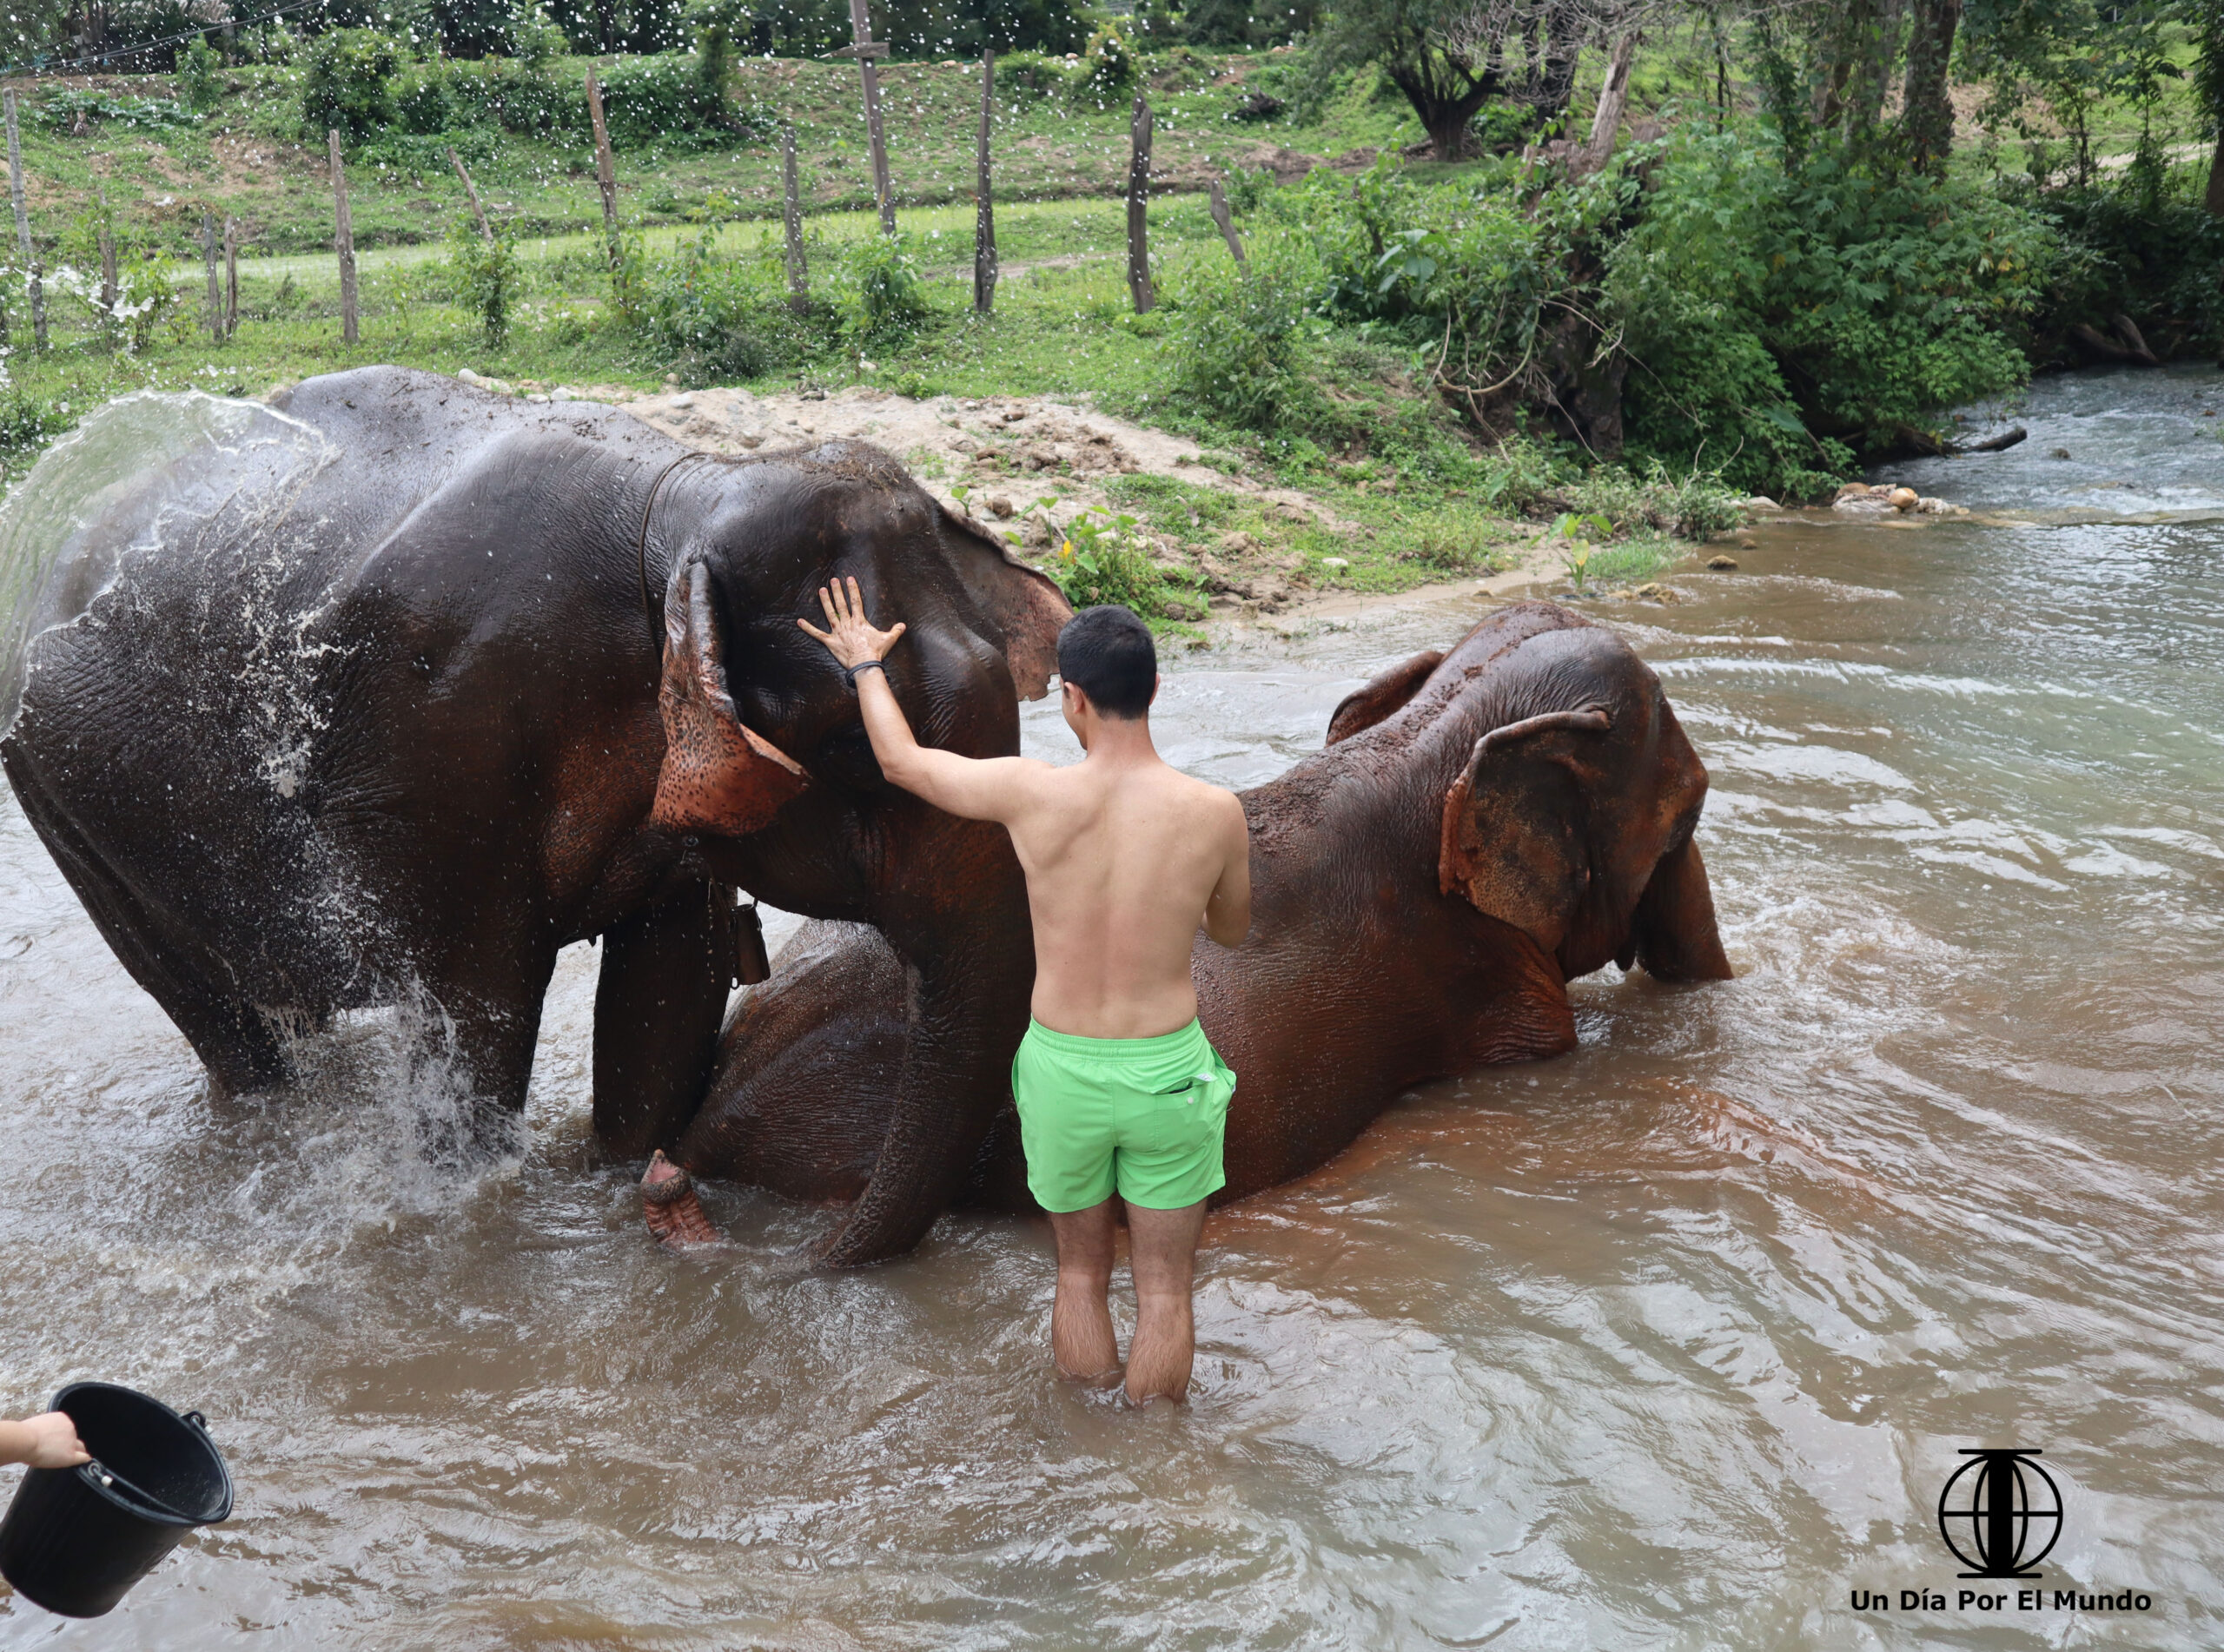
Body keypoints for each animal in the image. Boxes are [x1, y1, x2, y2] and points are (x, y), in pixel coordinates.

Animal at [0, 364, 1076, 1263]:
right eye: (856, 748)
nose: (796, 1252)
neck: (677, 509)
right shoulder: (437, 749)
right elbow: (479, 1009)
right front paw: (473, 1201)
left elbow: (667, 993)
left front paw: (622, 1170)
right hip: (60, 803)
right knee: (217, 1018)